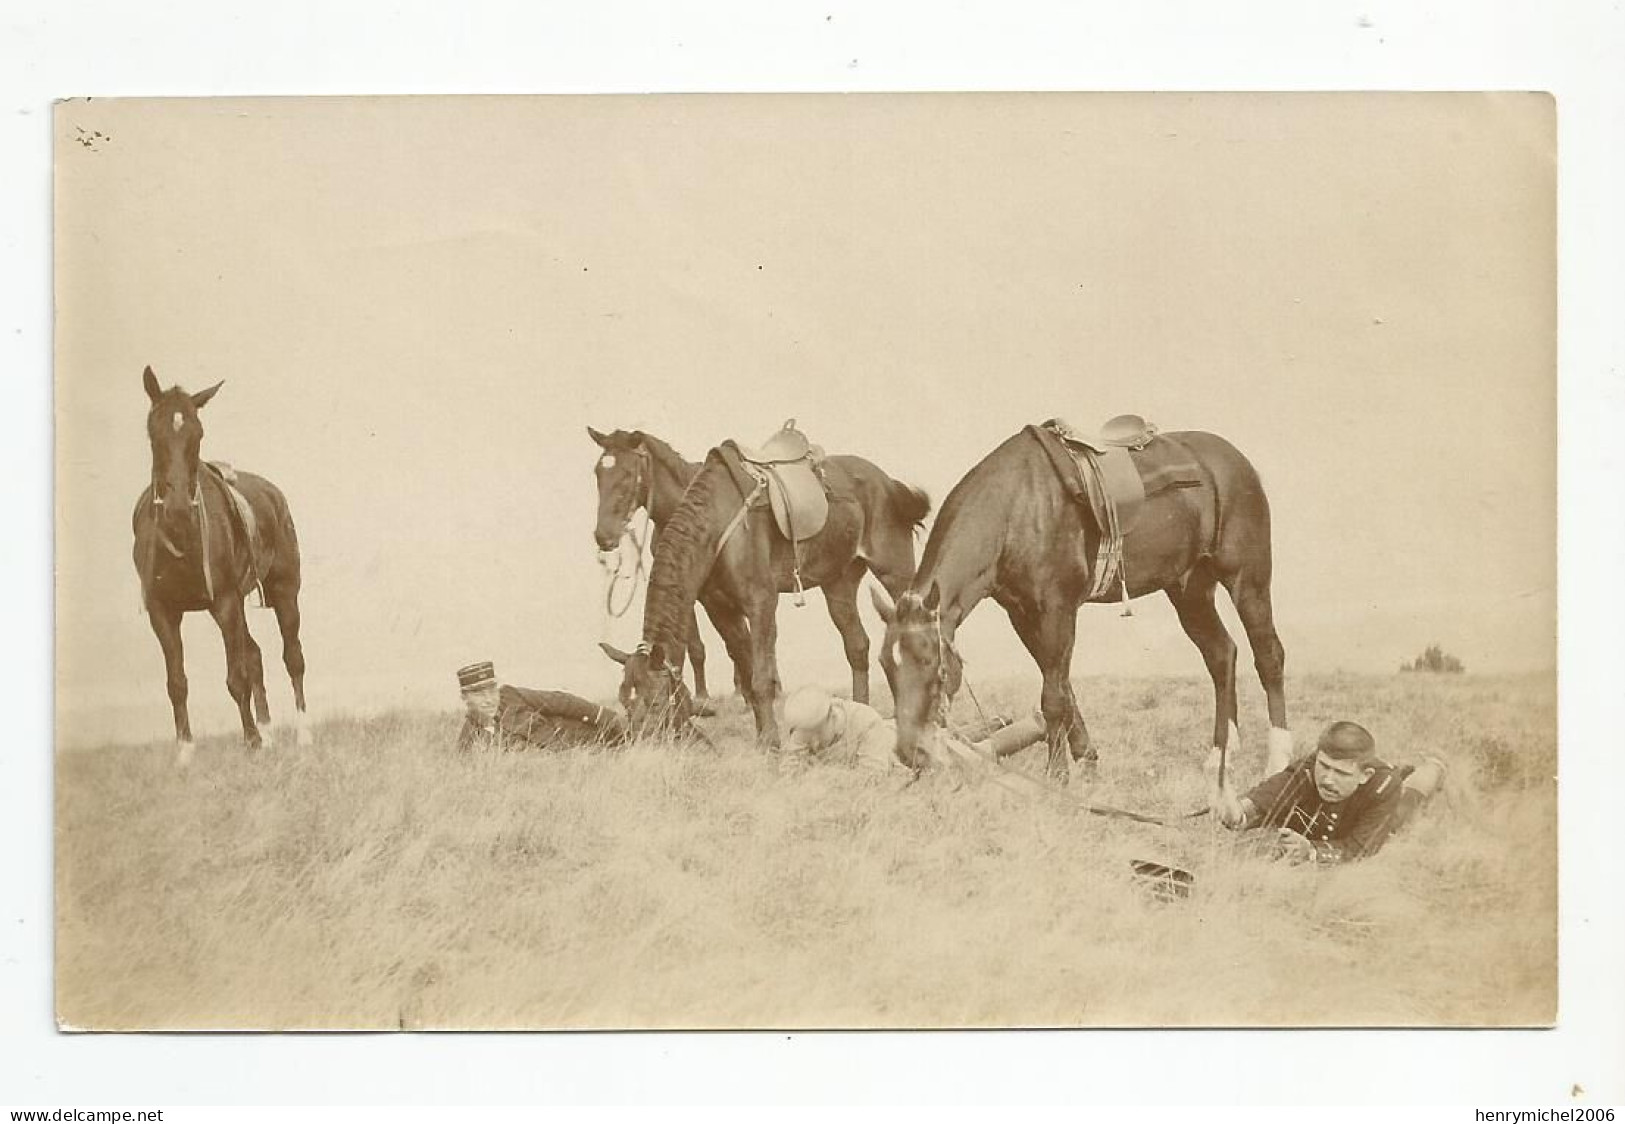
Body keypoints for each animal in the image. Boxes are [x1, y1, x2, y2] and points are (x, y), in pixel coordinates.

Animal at [132, 368, 307, 763]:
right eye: (154, 432)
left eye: (198, 433)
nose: (178, 508)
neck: (181, 538)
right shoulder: (162, 611)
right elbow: (177, 682)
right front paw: (185, 752)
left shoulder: (225, 601)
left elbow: (236, 676)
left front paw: (251, 741)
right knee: (255, 654)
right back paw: (269, 733)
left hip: (284, 591)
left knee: (292, 657)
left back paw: (302, 733)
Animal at [601, 445, 936, 750]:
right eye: (624, 701)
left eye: (656, 702)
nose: (640, 745)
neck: (717, 520)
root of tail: (889, 483)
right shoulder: (721, 610)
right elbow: (747, 672)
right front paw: (764, 736)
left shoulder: (761, 603)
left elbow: (761, 678)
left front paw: (771, 742)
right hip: (838, 583)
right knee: (857, 645)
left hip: (896, 573)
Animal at [871, 425, 1287, 786]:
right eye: (886, 666)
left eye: (933, 666)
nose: (909, 753)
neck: (1016, 508)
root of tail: (1235, 460)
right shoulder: (1022, 615)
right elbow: (1063, 688)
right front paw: (1087, 760)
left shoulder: (1057, 608)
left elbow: (1053, 697)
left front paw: (1058, 776)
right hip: (1189, 589)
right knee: (1221, 654)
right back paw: (1220, 756)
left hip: (1247, 580)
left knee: (1268, 655)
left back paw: (1278, 760)